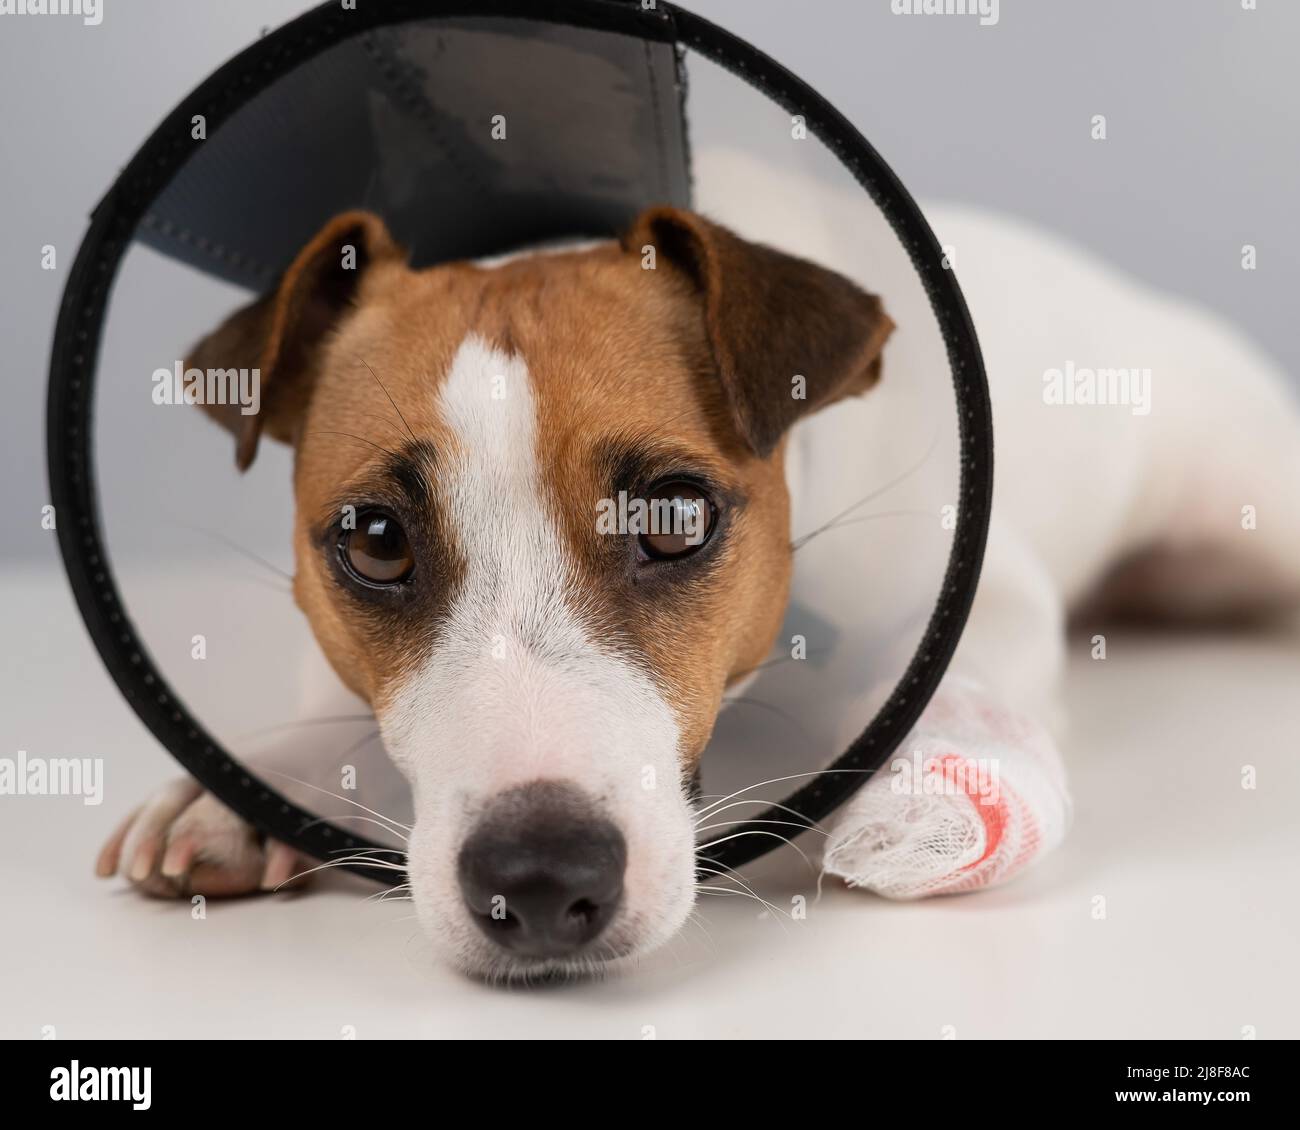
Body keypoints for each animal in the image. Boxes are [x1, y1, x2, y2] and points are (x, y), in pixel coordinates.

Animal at [94, 150, 1300, 977]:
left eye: (674, 516)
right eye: (376, 540)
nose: (540, 883)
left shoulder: (983, 592)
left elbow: (962, 682)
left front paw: (935, 803)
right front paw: (234, 796)